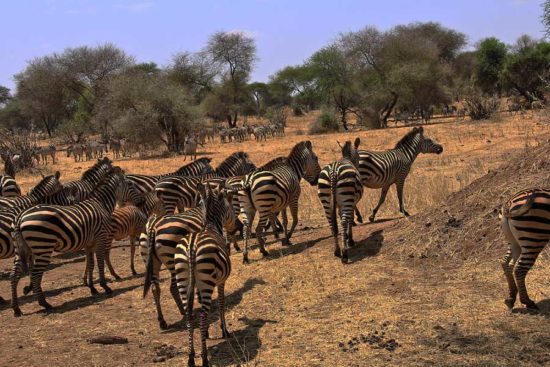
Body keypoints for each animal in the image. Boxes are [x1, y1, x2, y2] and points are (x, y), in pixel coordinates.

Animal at [10, 168, 144, 318]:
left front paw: (92, 288)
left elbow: (91, 264)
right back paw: (44, 304)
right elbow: (100, 262)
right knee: (35, 275)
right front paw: (105, 286)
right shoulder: (101, 238)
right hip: (43, 247)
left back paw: (16, 309)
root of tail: (20, 217)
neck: (101, 204)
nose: (143, 201)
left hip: (22, 249)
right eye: (131, 184)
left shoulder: (89, 243)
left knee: (14, 275)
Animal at [141, 185, 238, 332]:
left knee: (155, 288)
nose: (238, 227)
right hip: (172, 261)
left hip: (151, 260)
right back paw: (184, 311)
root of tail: (153, 226)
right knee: (173, 287)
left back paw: (162, 321)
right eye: (233, 210)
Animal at [175, 184, 235, 367]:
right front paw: (224, 330)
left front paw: (206, 332)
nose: (237, 226)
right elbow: (221, 303)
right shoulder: (221, 281)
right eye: (232, 207)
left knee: (190, 315)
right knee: (201, 315)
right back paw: (205, 358)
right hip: (206, 280)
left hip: (183, 279)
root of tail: (192, 245)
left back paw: (191, 356)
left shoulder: (198, 286)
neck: (210, 225)